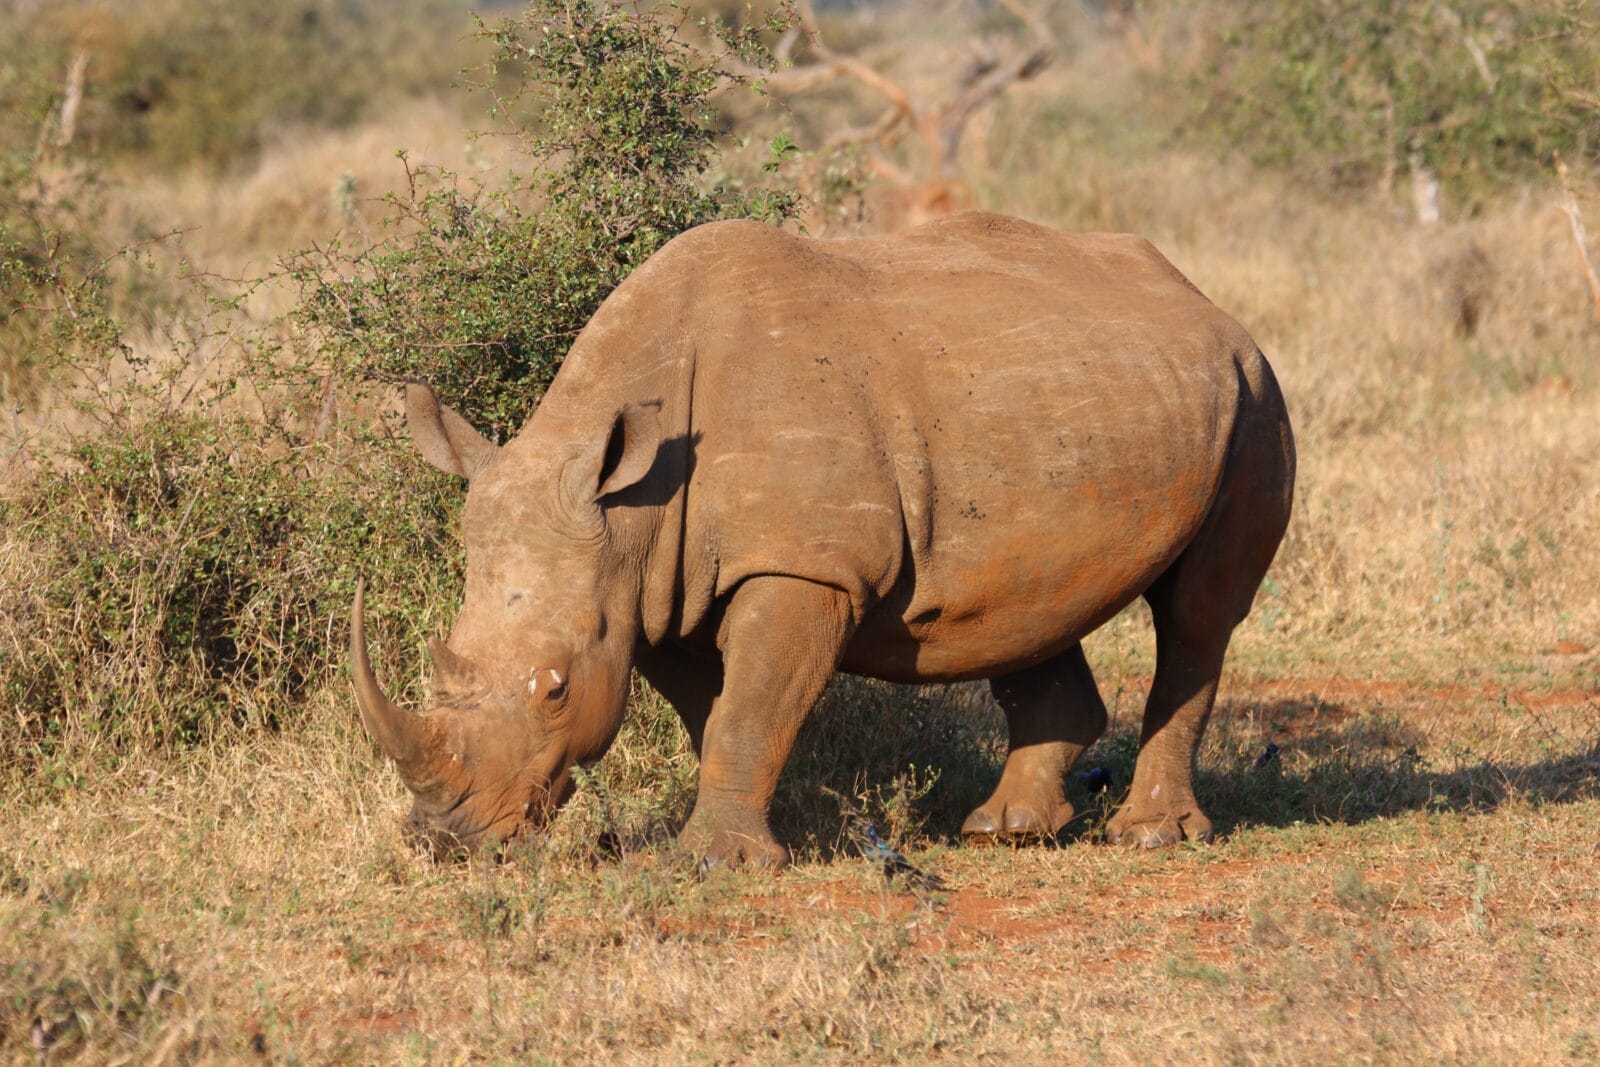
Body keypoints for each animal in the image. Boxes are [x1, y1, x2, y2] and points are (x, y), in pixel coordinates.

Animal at [351, 211, 1295, 866]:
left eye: (555, 690)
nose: (446, 838)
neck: (631, 509)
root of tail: (1208, 303)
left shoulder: (803, 565)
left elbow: (749, 704)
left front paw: (711, 862)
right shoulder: (656, 590)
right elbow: (720, 710)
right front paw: (767, 833)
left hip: (1253, 394)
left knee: (1199, 616)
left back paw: (1150, 836)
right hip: (1075, 403)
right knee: (1030, 600)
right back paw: (1007, 830)